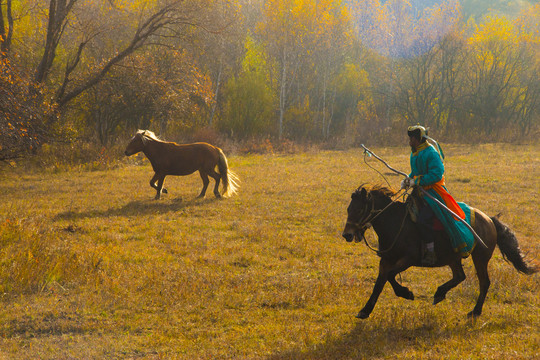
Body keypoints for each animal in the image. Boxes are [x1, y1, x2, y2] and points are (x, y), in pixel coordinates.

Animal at [342, 186, 536, 318]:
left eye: (359, 209)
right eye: (348, 209)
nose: (347, 234)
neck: (395, 223)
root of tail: (489, 219)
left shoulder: (408, 259)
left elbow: (390, 277)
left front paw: (406, 293)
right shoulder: (386, 261)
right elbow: (380, 283)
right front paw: (365, 311)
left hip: (480, 257)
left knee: (484, 282)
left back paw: (475, 311)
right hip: (453, 257)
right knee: (460, 276)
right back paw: (440, 293)